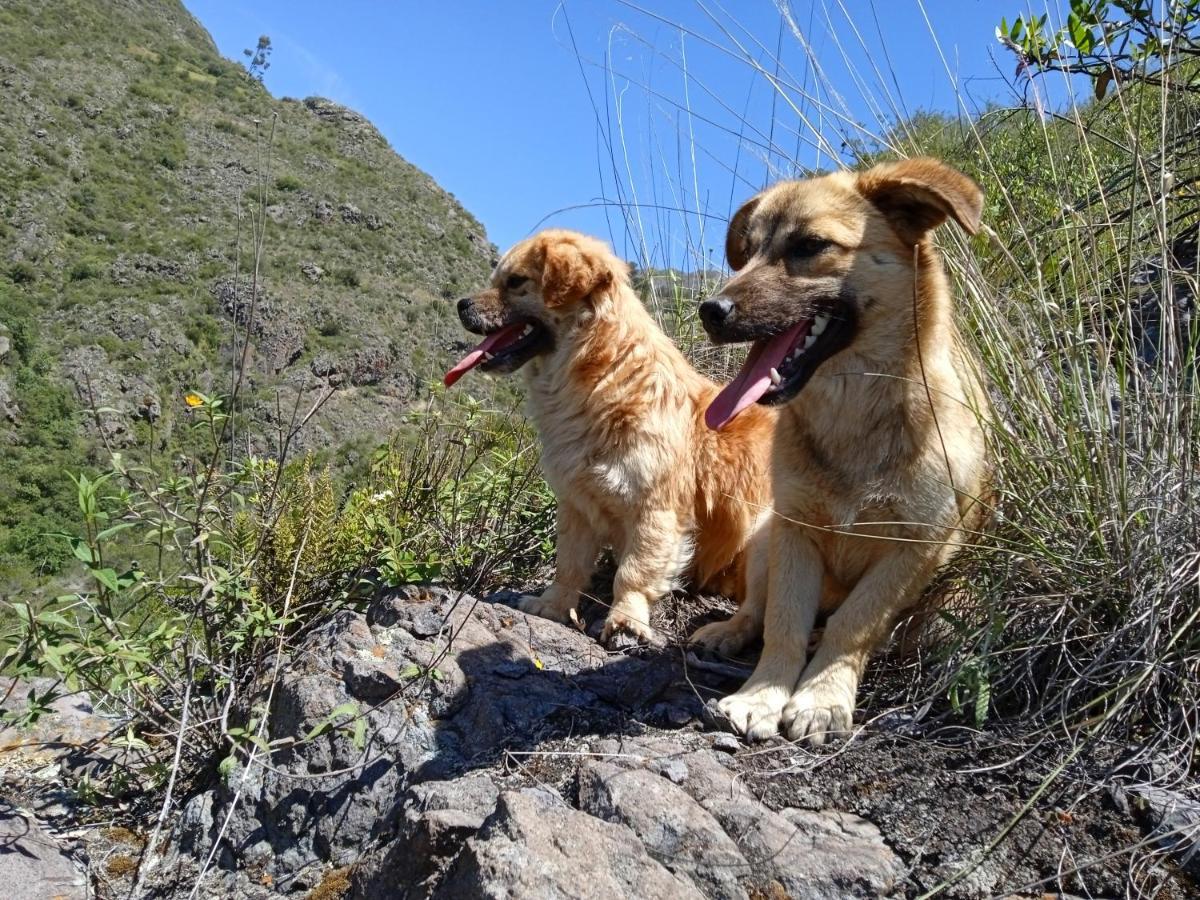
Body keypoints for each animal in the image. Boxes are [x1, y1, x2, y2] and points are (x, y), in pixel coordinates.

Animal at [451, 225, 777, 648]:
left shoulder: (654, 513)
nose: (461, 304)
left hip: (764, 534)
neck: (604, 380)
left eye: (515, 282)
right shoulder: (577, 504)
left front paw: (626, 621)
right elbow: (569, 565)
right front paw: (552, 606)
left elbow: (634, 574)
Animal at [700, 160, 993, 748]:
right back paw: (728, 631)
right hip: (764, 536)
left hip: (954, 598)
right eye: (748, 248)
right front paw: (762, 696)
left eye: (810, 246)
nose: (709, 311)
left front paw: (821, 697)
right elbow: (784, 623)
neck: (853, 412)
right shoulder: (795, 531)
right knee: (756, 609)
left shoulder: (915, 549)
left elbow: (853, 626)